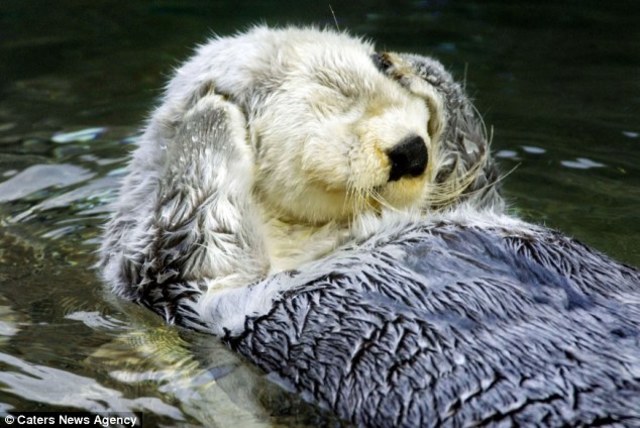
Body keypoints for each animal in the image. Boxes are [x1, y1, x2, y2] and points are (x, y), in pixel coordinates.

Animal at [100, 27, 640, 426]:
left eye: (390, 95)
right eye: (331, 101)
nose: (412, 149)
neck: (327, 233)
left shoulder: (471, 198)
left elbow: (469, 156)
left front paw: (408, 64)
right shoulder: (172, 275)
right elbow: (195, 226)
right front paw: (211, 108)